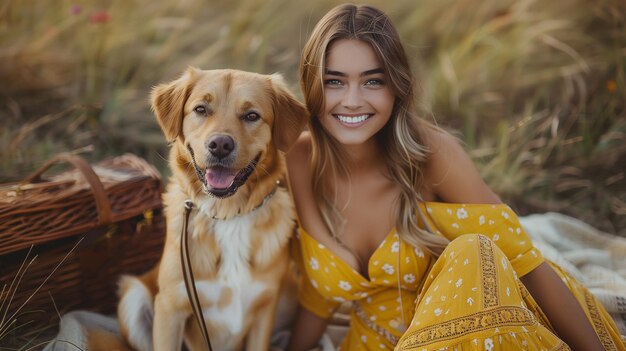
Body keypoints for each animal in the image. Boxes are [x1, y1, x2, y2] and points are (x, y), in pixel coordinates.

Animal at [116, 68, 308, 351]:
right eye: (201, 109)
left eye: (252, 115)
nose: (219, 145)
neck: (229, 215)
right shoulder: (170, 309)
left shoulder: (265, 309)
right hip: (134, 296)